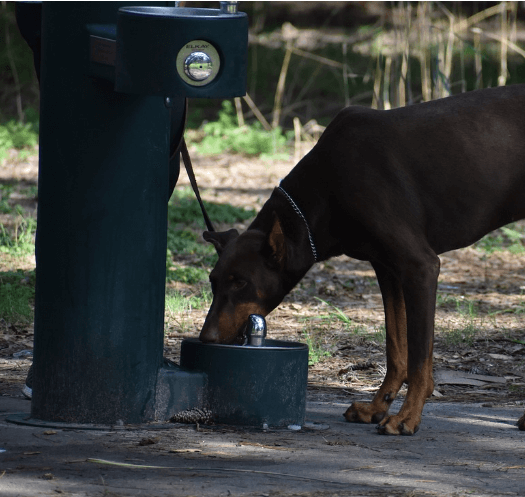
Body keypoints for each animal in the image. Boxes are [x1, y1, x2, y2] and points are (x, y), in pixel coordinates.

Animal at [200, 85, 524, 434]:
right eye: (213, 282)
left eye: (241, 282)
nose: (206, 338)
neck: (326, 188)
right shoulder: (387, 268)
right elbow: (396, 347)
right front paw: (376, 407)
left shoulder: (420, 267)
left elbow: (418, 356)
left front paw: (407, 417)